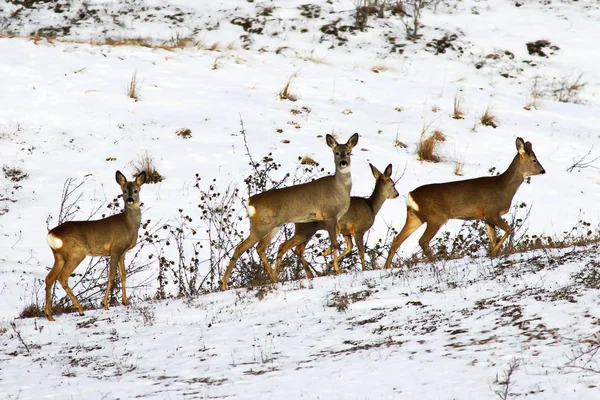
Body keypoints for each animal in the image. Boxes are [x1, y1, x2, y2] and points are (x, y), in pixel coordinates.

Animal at [44, 170, 146, 320]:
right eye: (124, 191)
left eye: (136, 190)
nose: (130, 200)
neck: (128, 225)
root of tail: (51, 235)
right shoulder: (115, 249)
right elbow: (111, 276)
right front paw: (105, 304)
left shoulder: (122, 252)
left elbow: (123, 274)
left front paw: (125, 301)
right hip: (77, 253)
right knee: (62, 277)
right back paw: (80, 310)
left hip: (59, 256)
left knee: (49, 278)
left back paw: (49, 315)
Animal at [221, 133, 358, 290]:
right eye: (336, 153)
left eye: (349, 152)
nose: (343, 163)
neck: (339, 189)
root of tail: (250, 202)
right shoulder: (329, 214)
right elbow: (335, 242)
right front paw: (337, 269)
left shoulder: (335, 218)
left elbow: (339, 238)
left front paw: (328, 257)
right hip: (261, 226)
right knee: (241, 248)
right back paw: (223, 284)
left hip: (274, 226)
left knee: (261, 247)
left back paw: (275, 278)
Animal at [262, 162, 398, 276]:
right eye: (393, 184)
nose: (397, 194)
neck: (371, 207)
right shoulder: (359, 230)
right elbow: (361, 252)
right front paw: (364, 270)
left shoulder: (346, 231)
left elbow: (349, 247)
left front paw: (330, 261)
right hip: (306, 229)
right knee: (285, 246)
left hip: (306, 230)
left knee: (297, 249)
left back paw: (309, 274)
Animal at [384, 138, 544, 268]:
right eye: (534, 160)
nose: (543, 171)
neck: (504, 187)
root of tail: (410, 195)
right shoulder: (492, 212)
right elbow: (509, 229)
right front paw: (492, 253)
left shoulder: (485, 217)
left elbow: (493, 238)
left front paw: (493, 253)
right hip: (435, 217)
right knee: (422, 241)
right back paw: (435, 261)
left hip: (415, 217)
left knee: (397, 240)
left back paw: (386, 267)